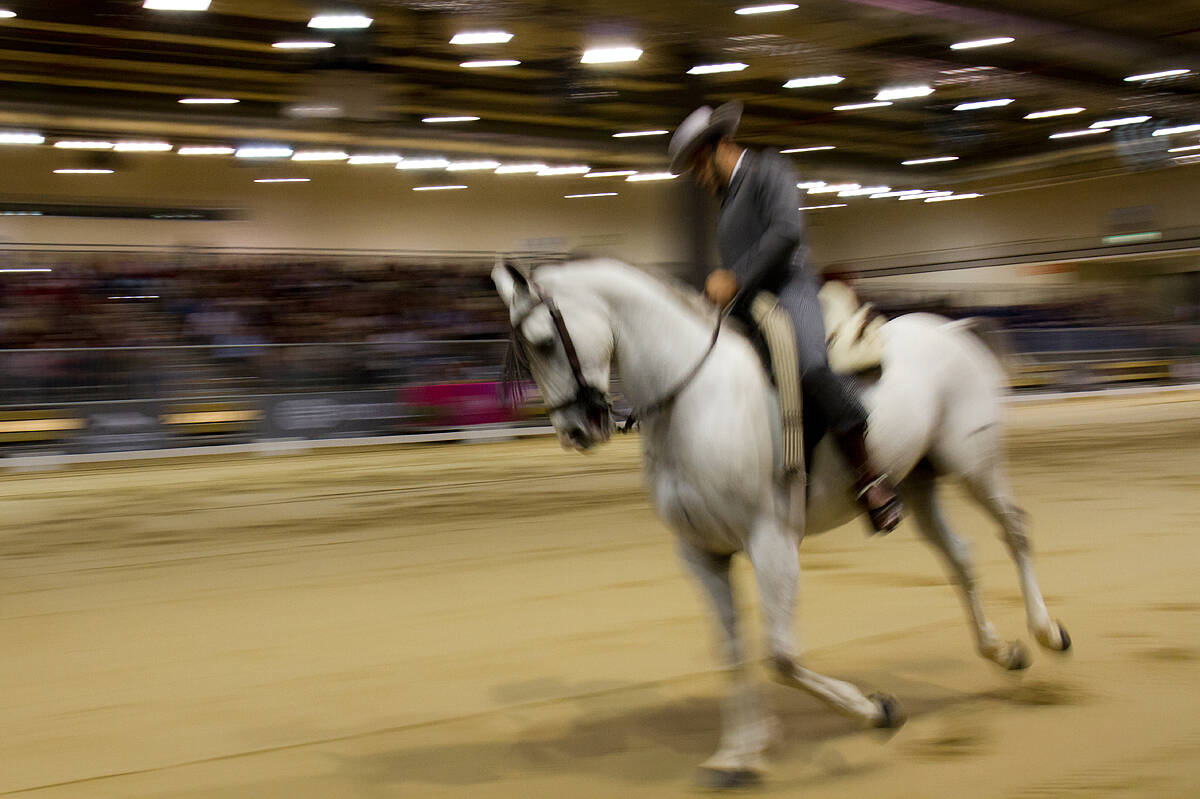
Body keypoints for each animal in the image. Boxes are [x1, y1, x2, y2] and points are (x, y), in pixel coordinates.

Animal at [492, 257, 1071, 787]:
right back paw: (1003, 652)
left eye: (544, 342)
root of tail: (952, 328)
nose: (577, 431)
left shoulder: (771, 543)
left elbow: (781, 656)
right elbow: (732, 653)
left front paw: (876, 710)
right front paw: (737, 756)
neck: (696, 400)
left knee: (1014, 531)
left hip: (975, 467)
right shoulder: (700, 552)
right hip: (920, 483)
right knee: (960, 557)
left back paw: (1047, 633)